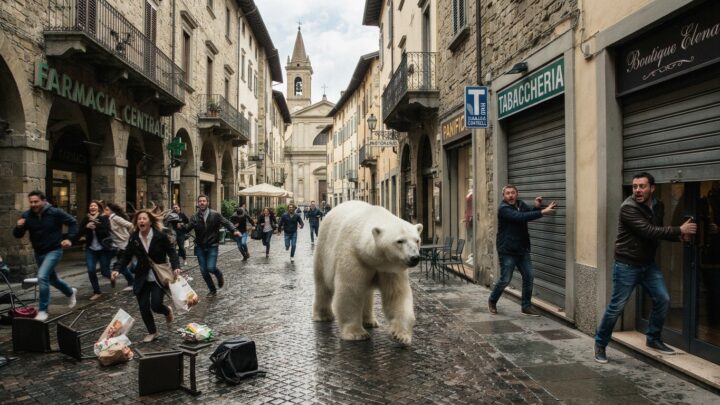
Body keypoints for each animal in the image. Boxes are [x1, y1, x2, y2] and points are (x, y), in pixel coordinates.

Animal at [312, 200, 423, 344]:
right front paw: (357, 334)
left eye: (417, 240)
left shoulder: (389, 267)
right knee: (322, 284)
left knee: (366, 293)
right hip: (323, 248)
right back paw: (323, 315)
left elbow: (396, 294)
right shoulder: (353, 256)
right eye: (400, 241)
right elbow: (350, 291)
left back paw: (370, 321)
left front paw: (401, 335)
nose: (414, 257)